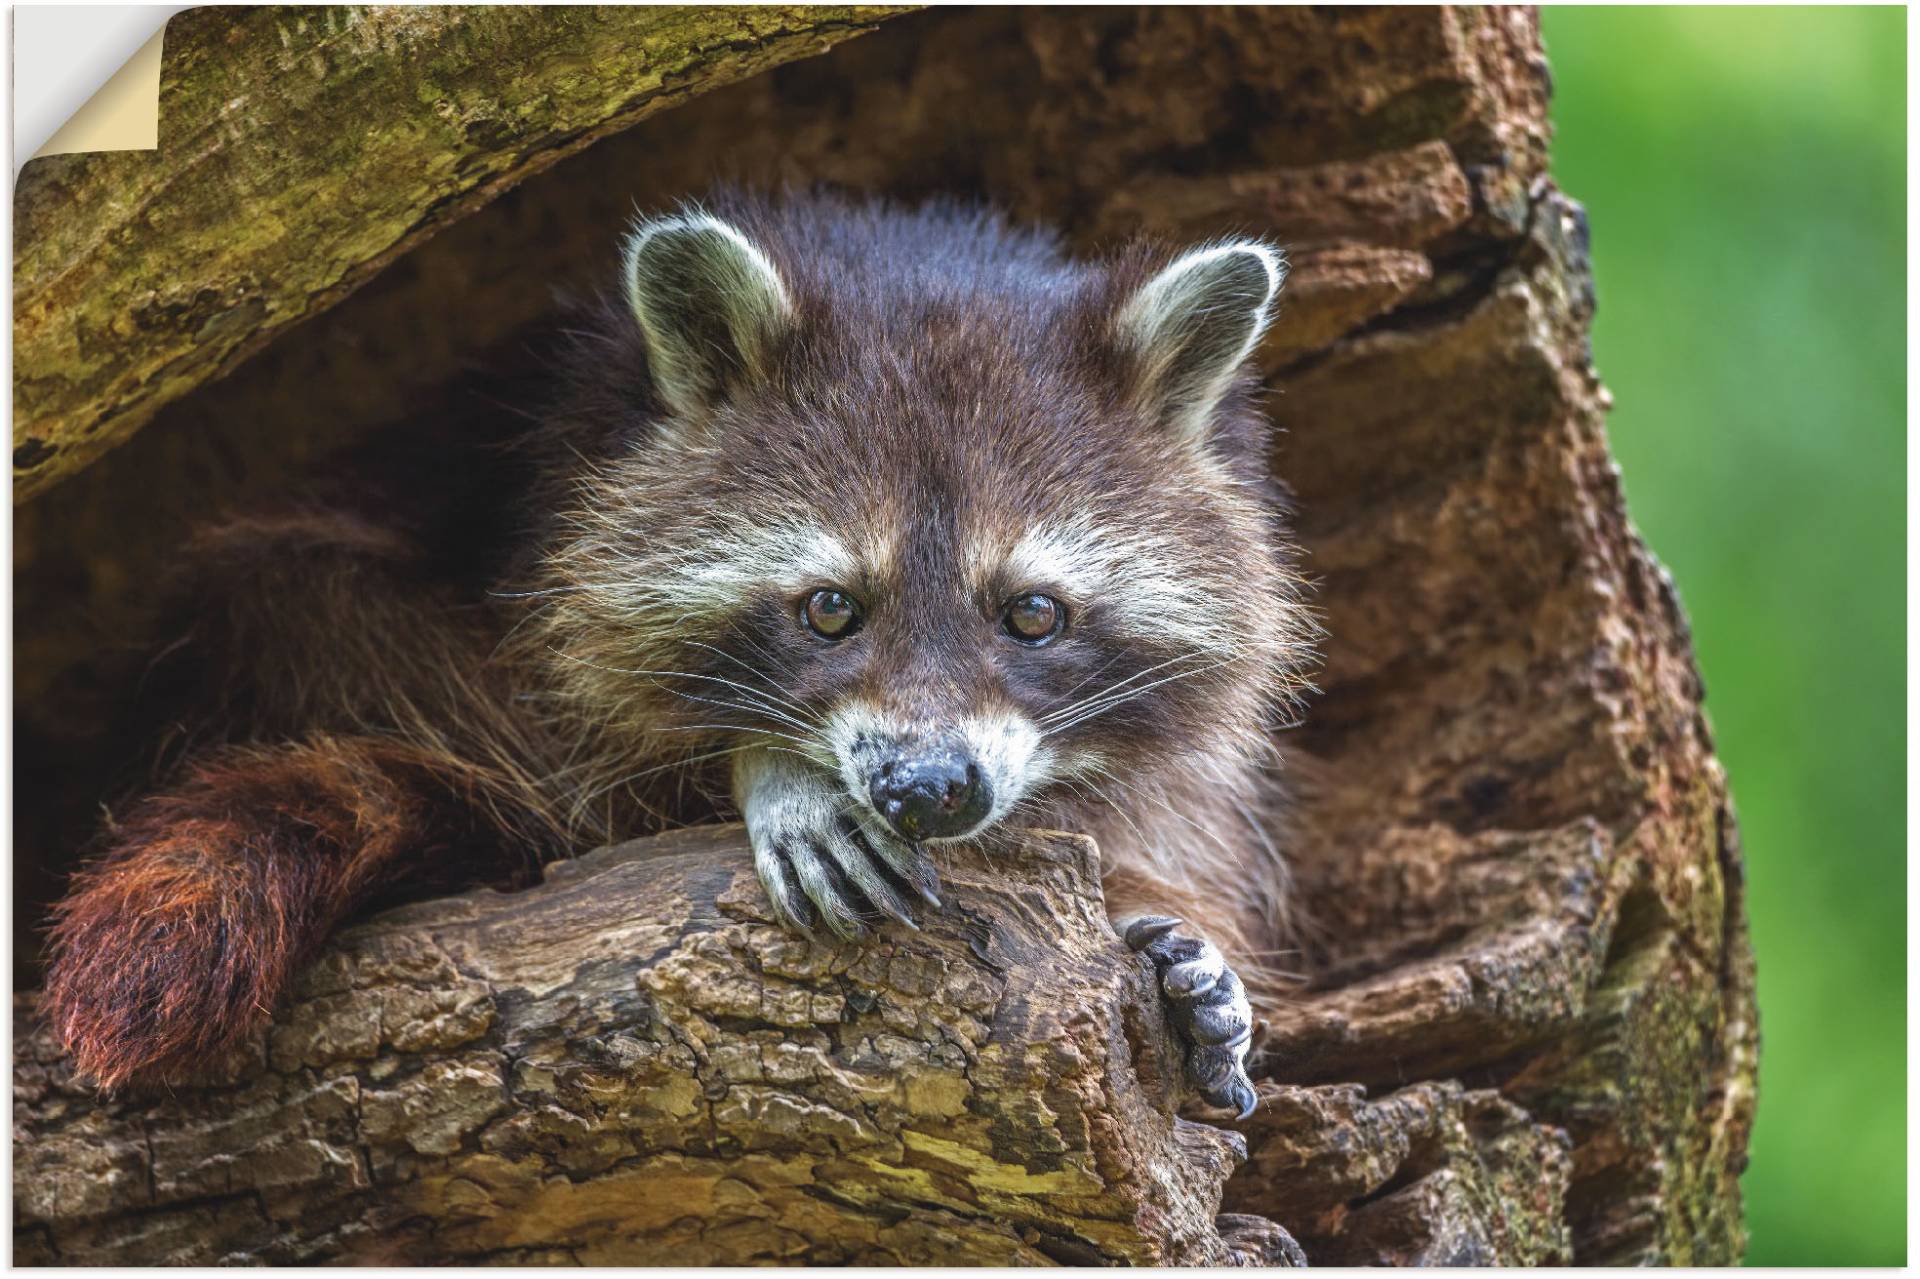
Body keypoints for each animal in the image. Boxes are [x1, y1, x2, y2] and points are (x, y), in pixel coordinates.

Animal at [45, 192, 1313, 1113]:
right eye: (830, 609)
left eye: (1034, 615)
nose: (928, 791)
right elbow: (570, 749)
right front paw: (769, 768)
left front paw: (1162, 921)